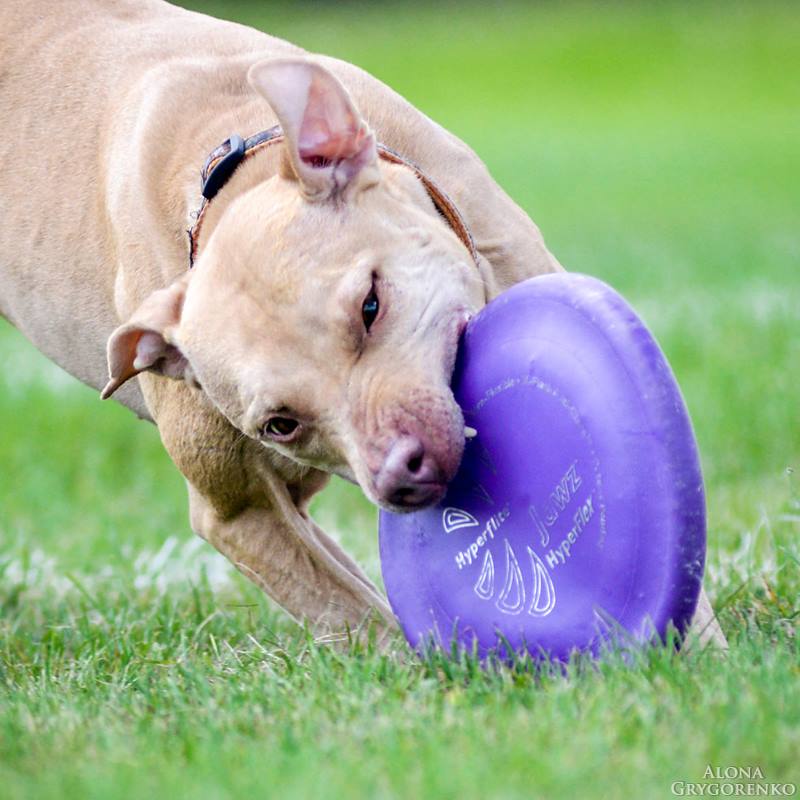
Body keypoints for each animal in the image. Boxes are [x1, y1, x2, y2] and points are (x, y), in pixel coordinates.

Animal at [0, 0, 724, 648]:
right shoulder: (239, 516)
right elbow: (363, 621)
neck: (221, 165)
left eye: (369, 305)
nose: (399, 476)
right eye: (280, 422)